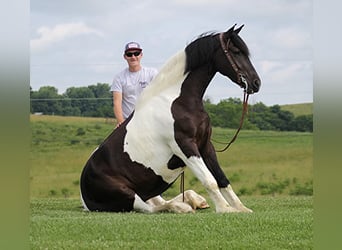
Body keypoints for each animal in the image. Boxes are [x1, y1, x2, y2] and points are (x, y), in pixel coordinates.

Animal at [81, 24, 262, 213]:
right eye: (236, 51)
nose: (256, 83)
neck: (178, 101)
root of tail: (84, 197)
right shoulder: (185, 146)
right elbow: (209, 180)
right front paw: (225, 209)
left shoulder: (206, 145)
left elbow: (222, 179)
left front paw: (241, 208)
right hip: (127, 194)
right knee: (151, 208)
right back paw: (183, 206)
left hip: (147, 193)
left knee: (157, 202)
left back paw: (194, 201)